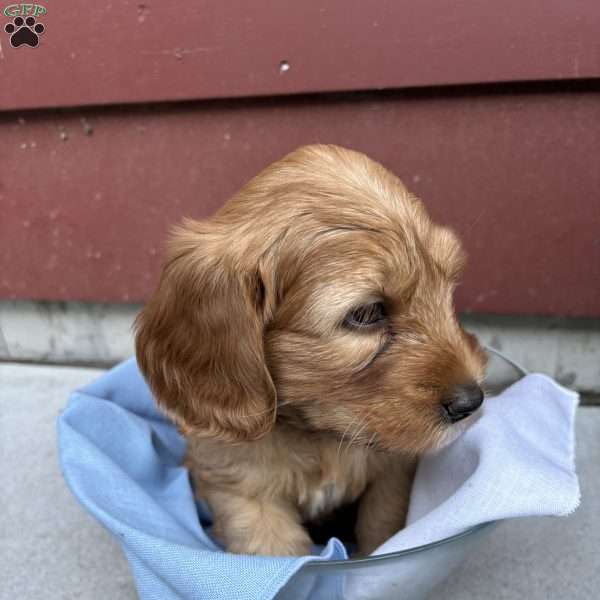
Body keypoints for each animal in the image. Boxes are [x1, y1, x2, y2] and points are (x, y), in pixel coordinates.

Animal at [136, 143, 488, 556]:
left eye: (447, 288)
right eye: (367, 313)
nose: (472, 401)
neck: (319, 435)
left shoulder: (392, 473)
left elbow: (384, 527)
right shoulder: (245, 493)